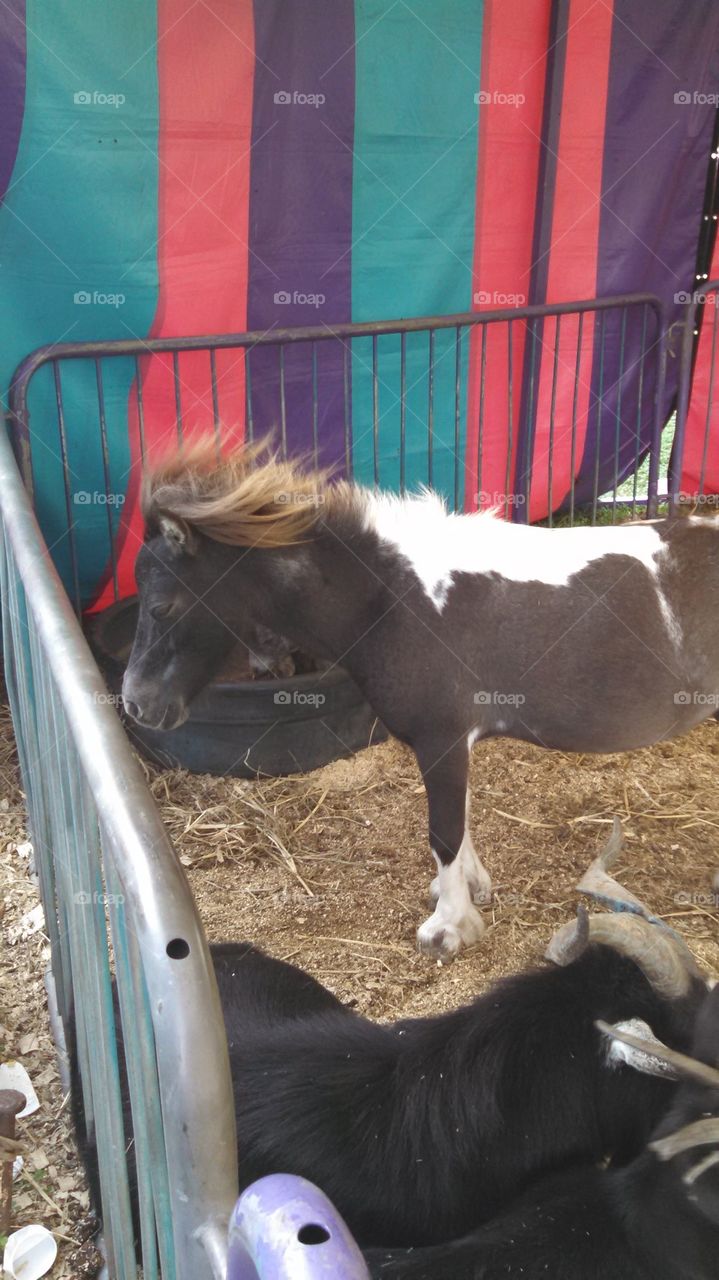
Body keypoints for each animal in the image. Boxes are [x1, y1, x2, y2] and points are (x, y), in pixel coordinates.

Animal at [122, 439, 719, 958]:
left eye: (162, 606)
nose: (135, 703)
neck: (394, 597)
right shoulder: (456, 744)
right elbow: (460, 820)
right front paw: (468, 891)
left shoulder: (441, 741)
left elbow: (444, 833)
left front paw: (448, 927)